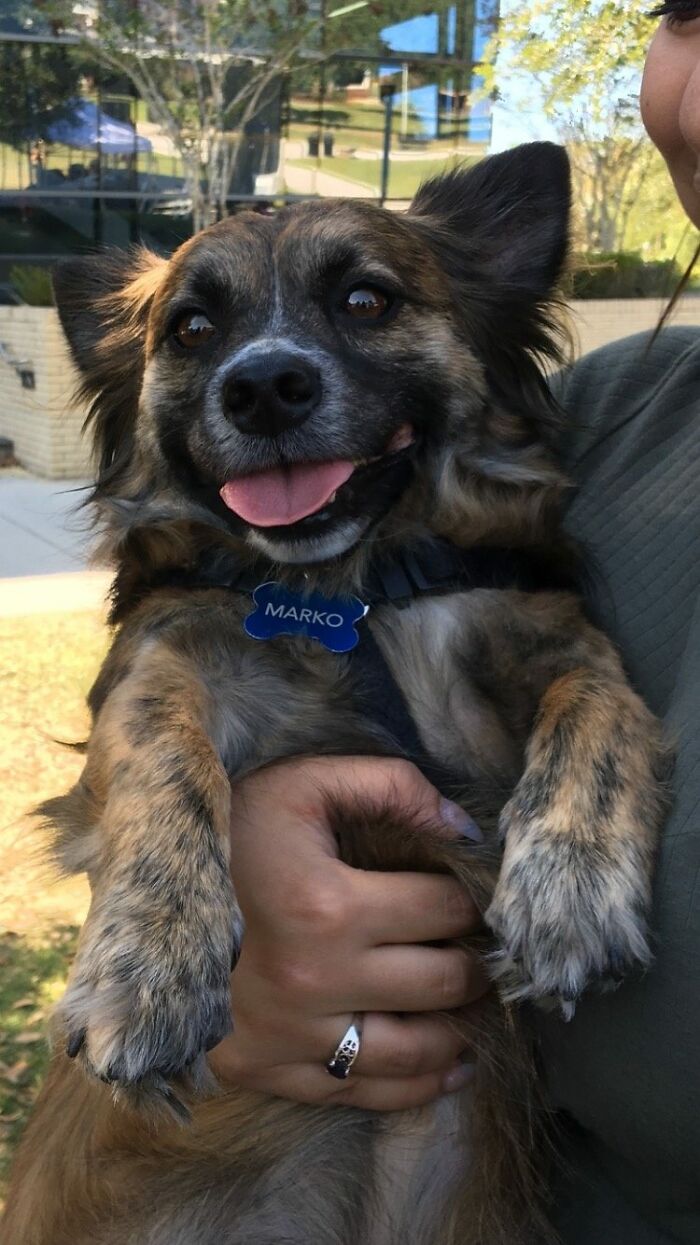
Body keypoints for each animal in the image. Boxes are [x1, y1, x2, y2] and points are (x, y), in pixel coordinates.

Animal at [1, 141, 662, 1240]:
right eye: (191, 328)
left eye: (365, 299)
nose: (265, 386)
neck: (356, 590)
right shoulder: (159, 658)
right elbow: (161, 749)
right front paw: (149, 960)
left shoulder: (555, 638)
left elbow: (601, 707)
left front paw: (569, 885)